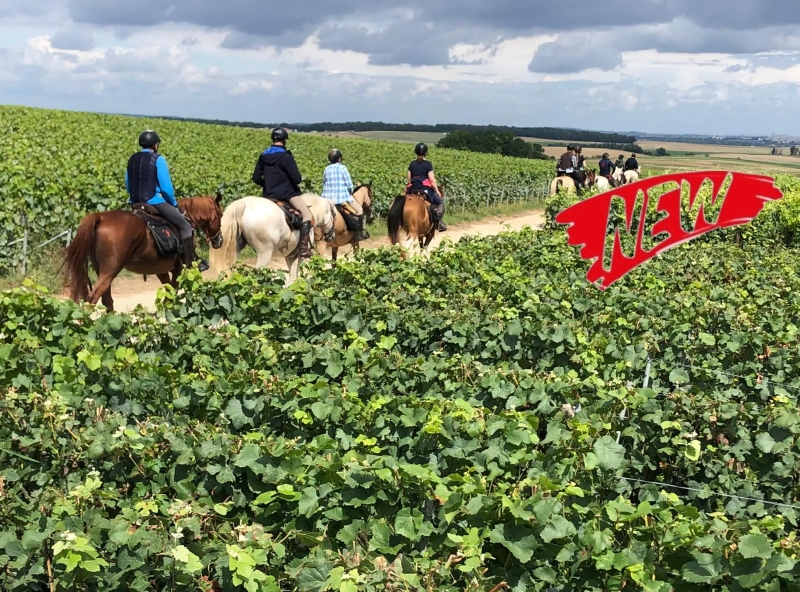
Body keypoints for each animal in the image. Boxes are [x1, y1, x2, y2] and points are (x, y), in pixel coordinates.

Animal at [61, 195, 225, 314]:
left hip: (101, 269)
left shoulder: (161, 269)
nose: (219, 240)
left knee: (106, 300)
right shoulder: (178, 267)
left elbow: (168, 290)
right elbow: (172, 291)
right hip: (110, 270)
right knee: (92, 298)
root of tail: (100, 217)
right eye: (221, 215)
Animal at [208, 192, 336, 280]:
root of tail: (243, 203)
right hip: (265, 253)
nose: (332, 236)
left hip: (235, 250)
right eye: (334, 214)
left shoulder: (290, 255)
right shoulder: (299, 256)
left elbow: (291, 278)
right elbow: (294, 276)